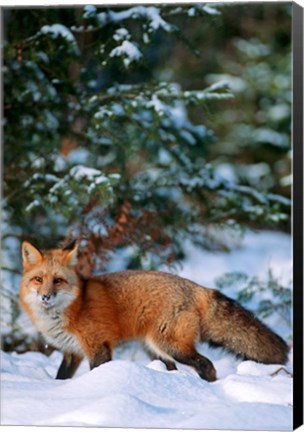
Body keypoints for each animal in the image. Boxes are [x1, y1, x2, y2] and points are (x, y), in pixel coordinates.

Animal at [20, 241, 288, 380]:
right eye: (38, 279)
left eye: (58, 281)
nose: (45, 296)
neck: (71, 309)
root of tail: (197, 287)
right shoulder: (72, 353)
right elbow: (61, 377)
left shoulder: (98, 347)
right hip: (155, 350)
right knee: (176, 369)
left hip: (171, 346)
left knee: (207, 365)